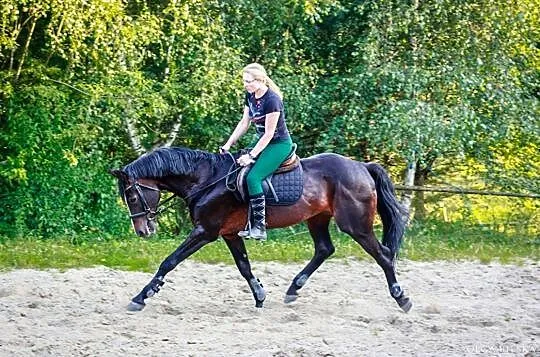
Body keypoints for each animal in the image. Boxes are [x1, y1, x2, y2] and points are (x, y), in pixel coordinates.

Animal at [110, 146, 414, 310]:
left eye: (132, 197)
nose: (143, 231)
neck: (208, 179)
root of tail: (361, 166)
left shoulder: (206, 232)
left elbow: (169, 261)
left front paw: (142, 296)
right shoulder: (228, 233)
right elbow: (244, 266)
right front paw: (259, 295)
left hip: (356, 225)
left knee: (384, 255)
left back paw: (401, 297)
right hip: (317, 218)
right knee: (324, 249)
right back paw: (293, 288)